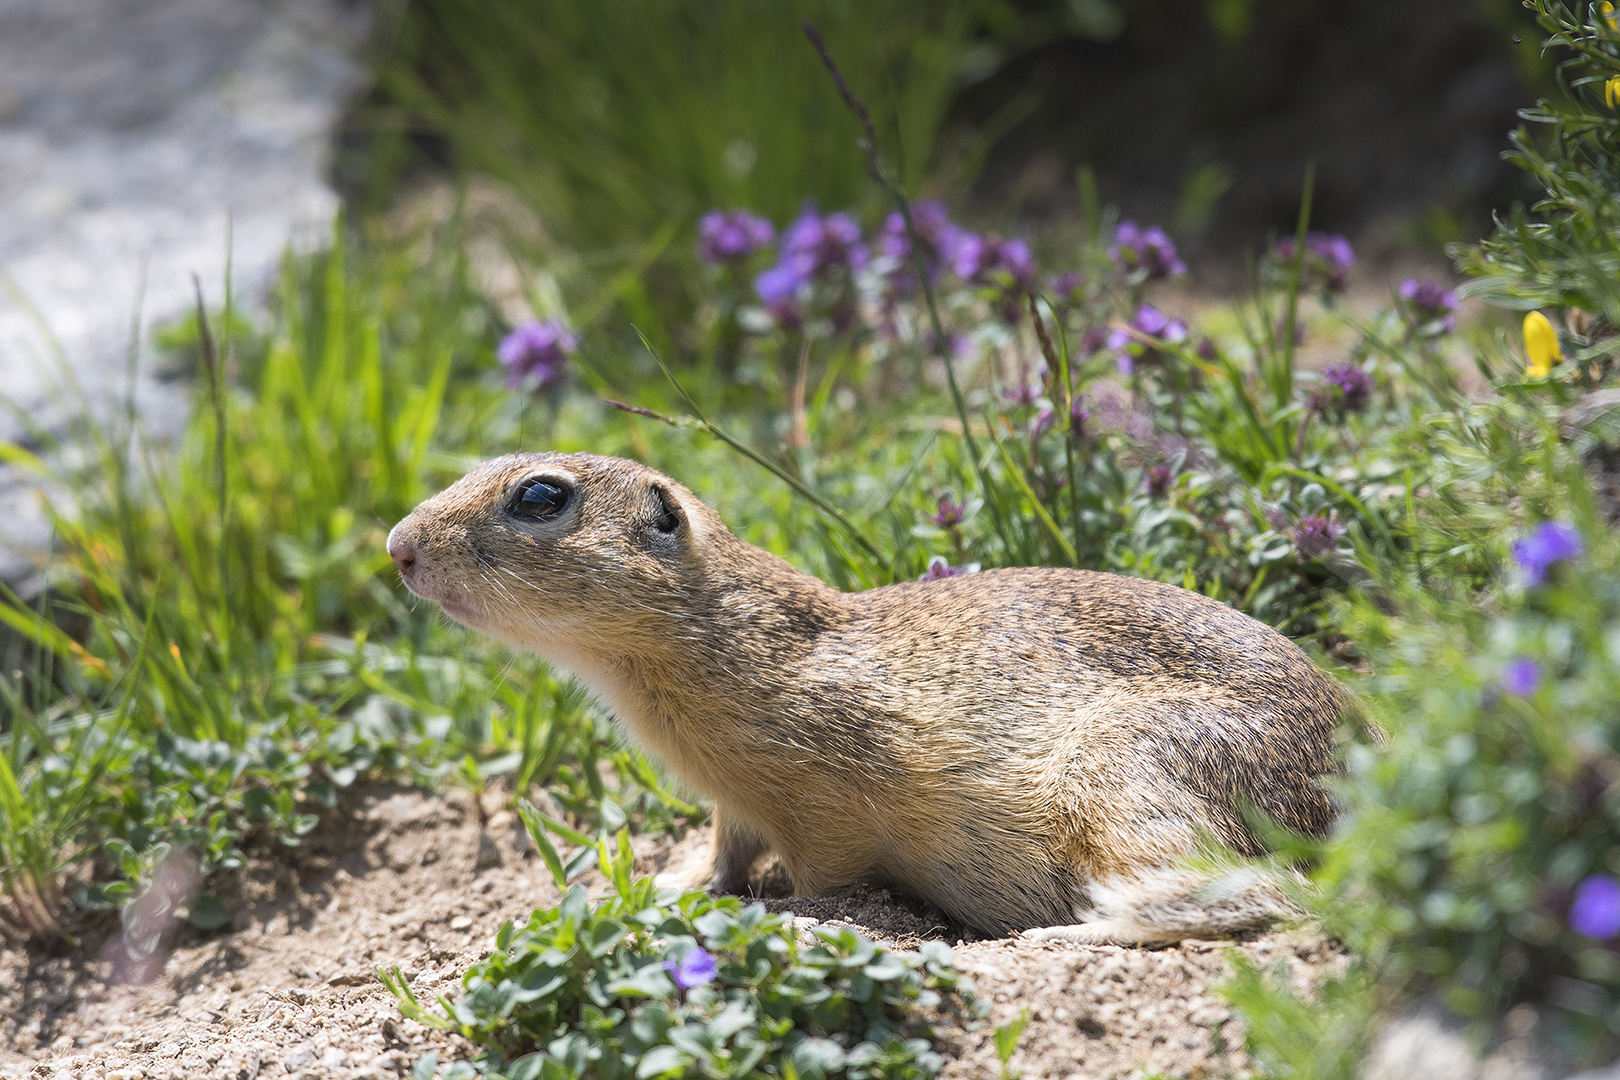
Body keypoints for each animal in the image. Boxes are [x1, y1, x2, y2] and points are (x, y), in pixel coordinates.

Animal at [387, 452, 1349, 945]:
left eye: (540, 496)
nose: (396, 545)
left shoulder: (827, 805)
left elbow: (821, 877)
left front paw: (789, 913)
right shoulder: (735, 800)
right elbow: (724, 850)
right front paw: (666, 884)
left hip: (1127, 767)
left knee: (1252, 895)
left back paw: (1070, 930)